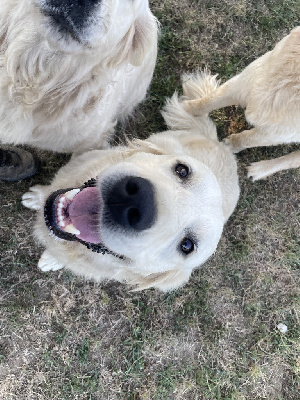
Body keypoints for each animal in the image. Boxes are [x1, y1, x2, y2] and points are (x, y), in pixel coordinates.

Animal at [21, 72, 239, 290]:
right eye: (182, 170)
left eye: (187, 246)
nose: (134, 200)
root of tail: (223, 148)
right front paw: (36, 197)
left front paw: (52, 259)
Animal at [182, 26, 300, 180]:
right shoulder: (243, 82)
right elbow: (208, 101)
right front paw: (181, 109)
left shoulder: (277, 133)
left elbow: (246, 139)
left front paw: (229, 145)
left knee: (294, 159)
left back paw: (259, 170)